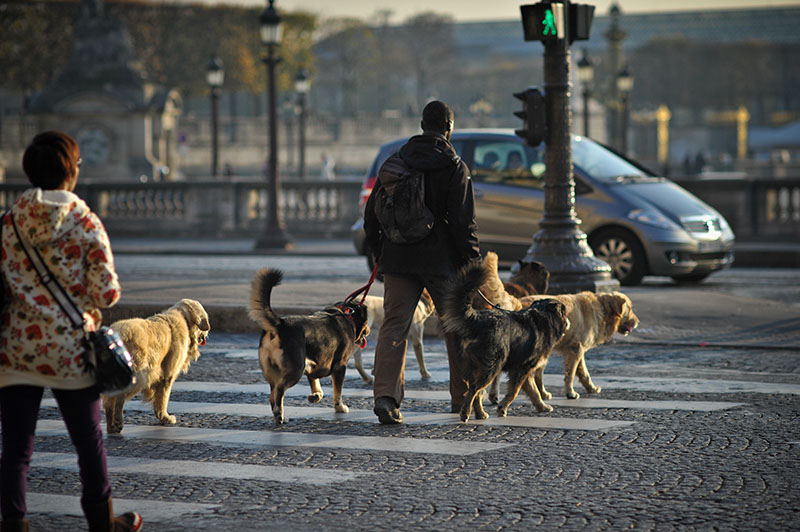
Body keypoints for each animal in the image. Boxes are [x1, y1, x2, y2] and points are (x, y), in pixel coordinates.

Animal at [248, 268, 370, 426]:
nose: (369, 330)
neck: (346, 314)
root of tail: (280, 324)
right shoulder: (340, 366)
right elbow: (337, 393)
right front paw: (340, 407)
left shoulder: (313, 363)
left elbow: (316, 384)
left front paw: (316, 396)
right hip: (295, 369)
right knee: (280, 389)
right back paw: (280, 416)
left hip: (272, 371)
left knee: (273, 395)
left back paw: (279, 415)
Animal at [440, 260, 572, 422]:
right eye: (564, 312)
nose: (568, 320)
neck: (544, 318)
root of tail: (477, 319)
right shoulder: (522, 368)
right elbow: (515, 392)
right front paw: (502, 408)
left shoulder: (524, 369)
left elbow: (533, 391)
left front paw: (541, 407)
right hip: (491, 367)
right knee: (474, 389)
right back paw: (466, 413)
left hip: (474, 366)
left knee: (476, 392)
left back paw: (480, 413)